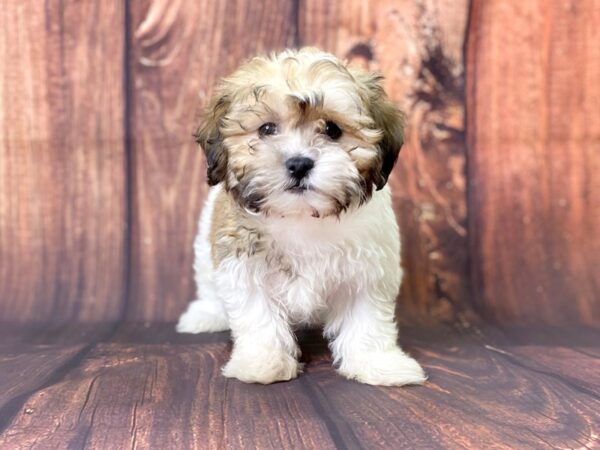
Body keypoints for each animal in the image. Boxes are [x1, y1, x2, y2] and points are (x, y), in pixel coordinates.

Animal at [178, 46, 426, 386]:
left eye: (333, 130)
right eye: (267, 129)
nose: (298, 163)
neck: (303, 216)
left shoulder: (368, 270)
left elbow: (367, 319)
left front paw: (378, 363)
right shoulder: (243, 264)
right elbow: (259, 317)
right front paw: (263, 363)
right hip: (205, 245)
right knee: (207, 283)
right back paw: (204, 315)